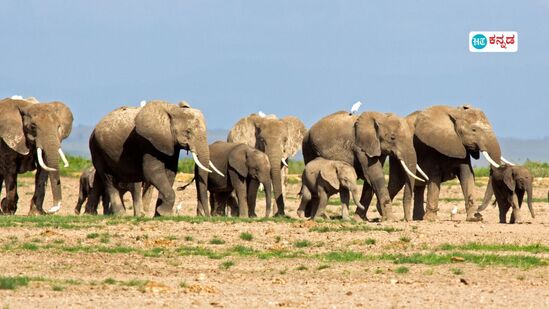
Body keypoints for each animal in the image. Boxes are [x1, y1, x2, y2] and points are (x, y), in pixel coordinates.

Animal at [85, 100, 218, 215]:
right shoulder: (147, 141)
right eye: (188, 132)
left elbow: (170, 172)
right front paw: (164, 213)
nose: (204, 215)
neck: (172, 111)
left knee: (99, 178)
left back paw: (90, 213)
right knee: (108, 178)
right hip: (97, 148)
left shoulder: (170, 143)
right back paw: (120, 215)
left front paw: (159, 213)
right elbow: (152, 172)